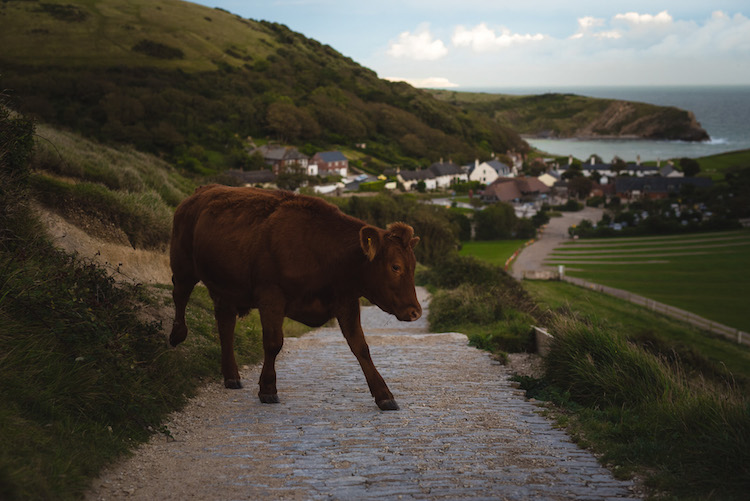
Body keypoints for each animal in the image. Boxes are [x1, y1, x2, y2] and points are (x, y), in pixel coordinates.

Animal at [168, 185, 424, 410]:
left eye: (413, 266)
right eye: (395, 267)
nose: (415, 312)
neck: (321, 251)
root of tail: (201, 190)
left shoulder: (346, 301)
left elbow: (361, 347)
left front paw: (384, 395)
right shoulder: (271, 296)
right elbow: (273, 343)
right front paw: (268, 389)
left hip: (225, 286)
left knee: (225, 324)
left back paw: (231, 376)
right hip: (183, 264)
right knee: (179, 294)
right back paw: (177, 335)